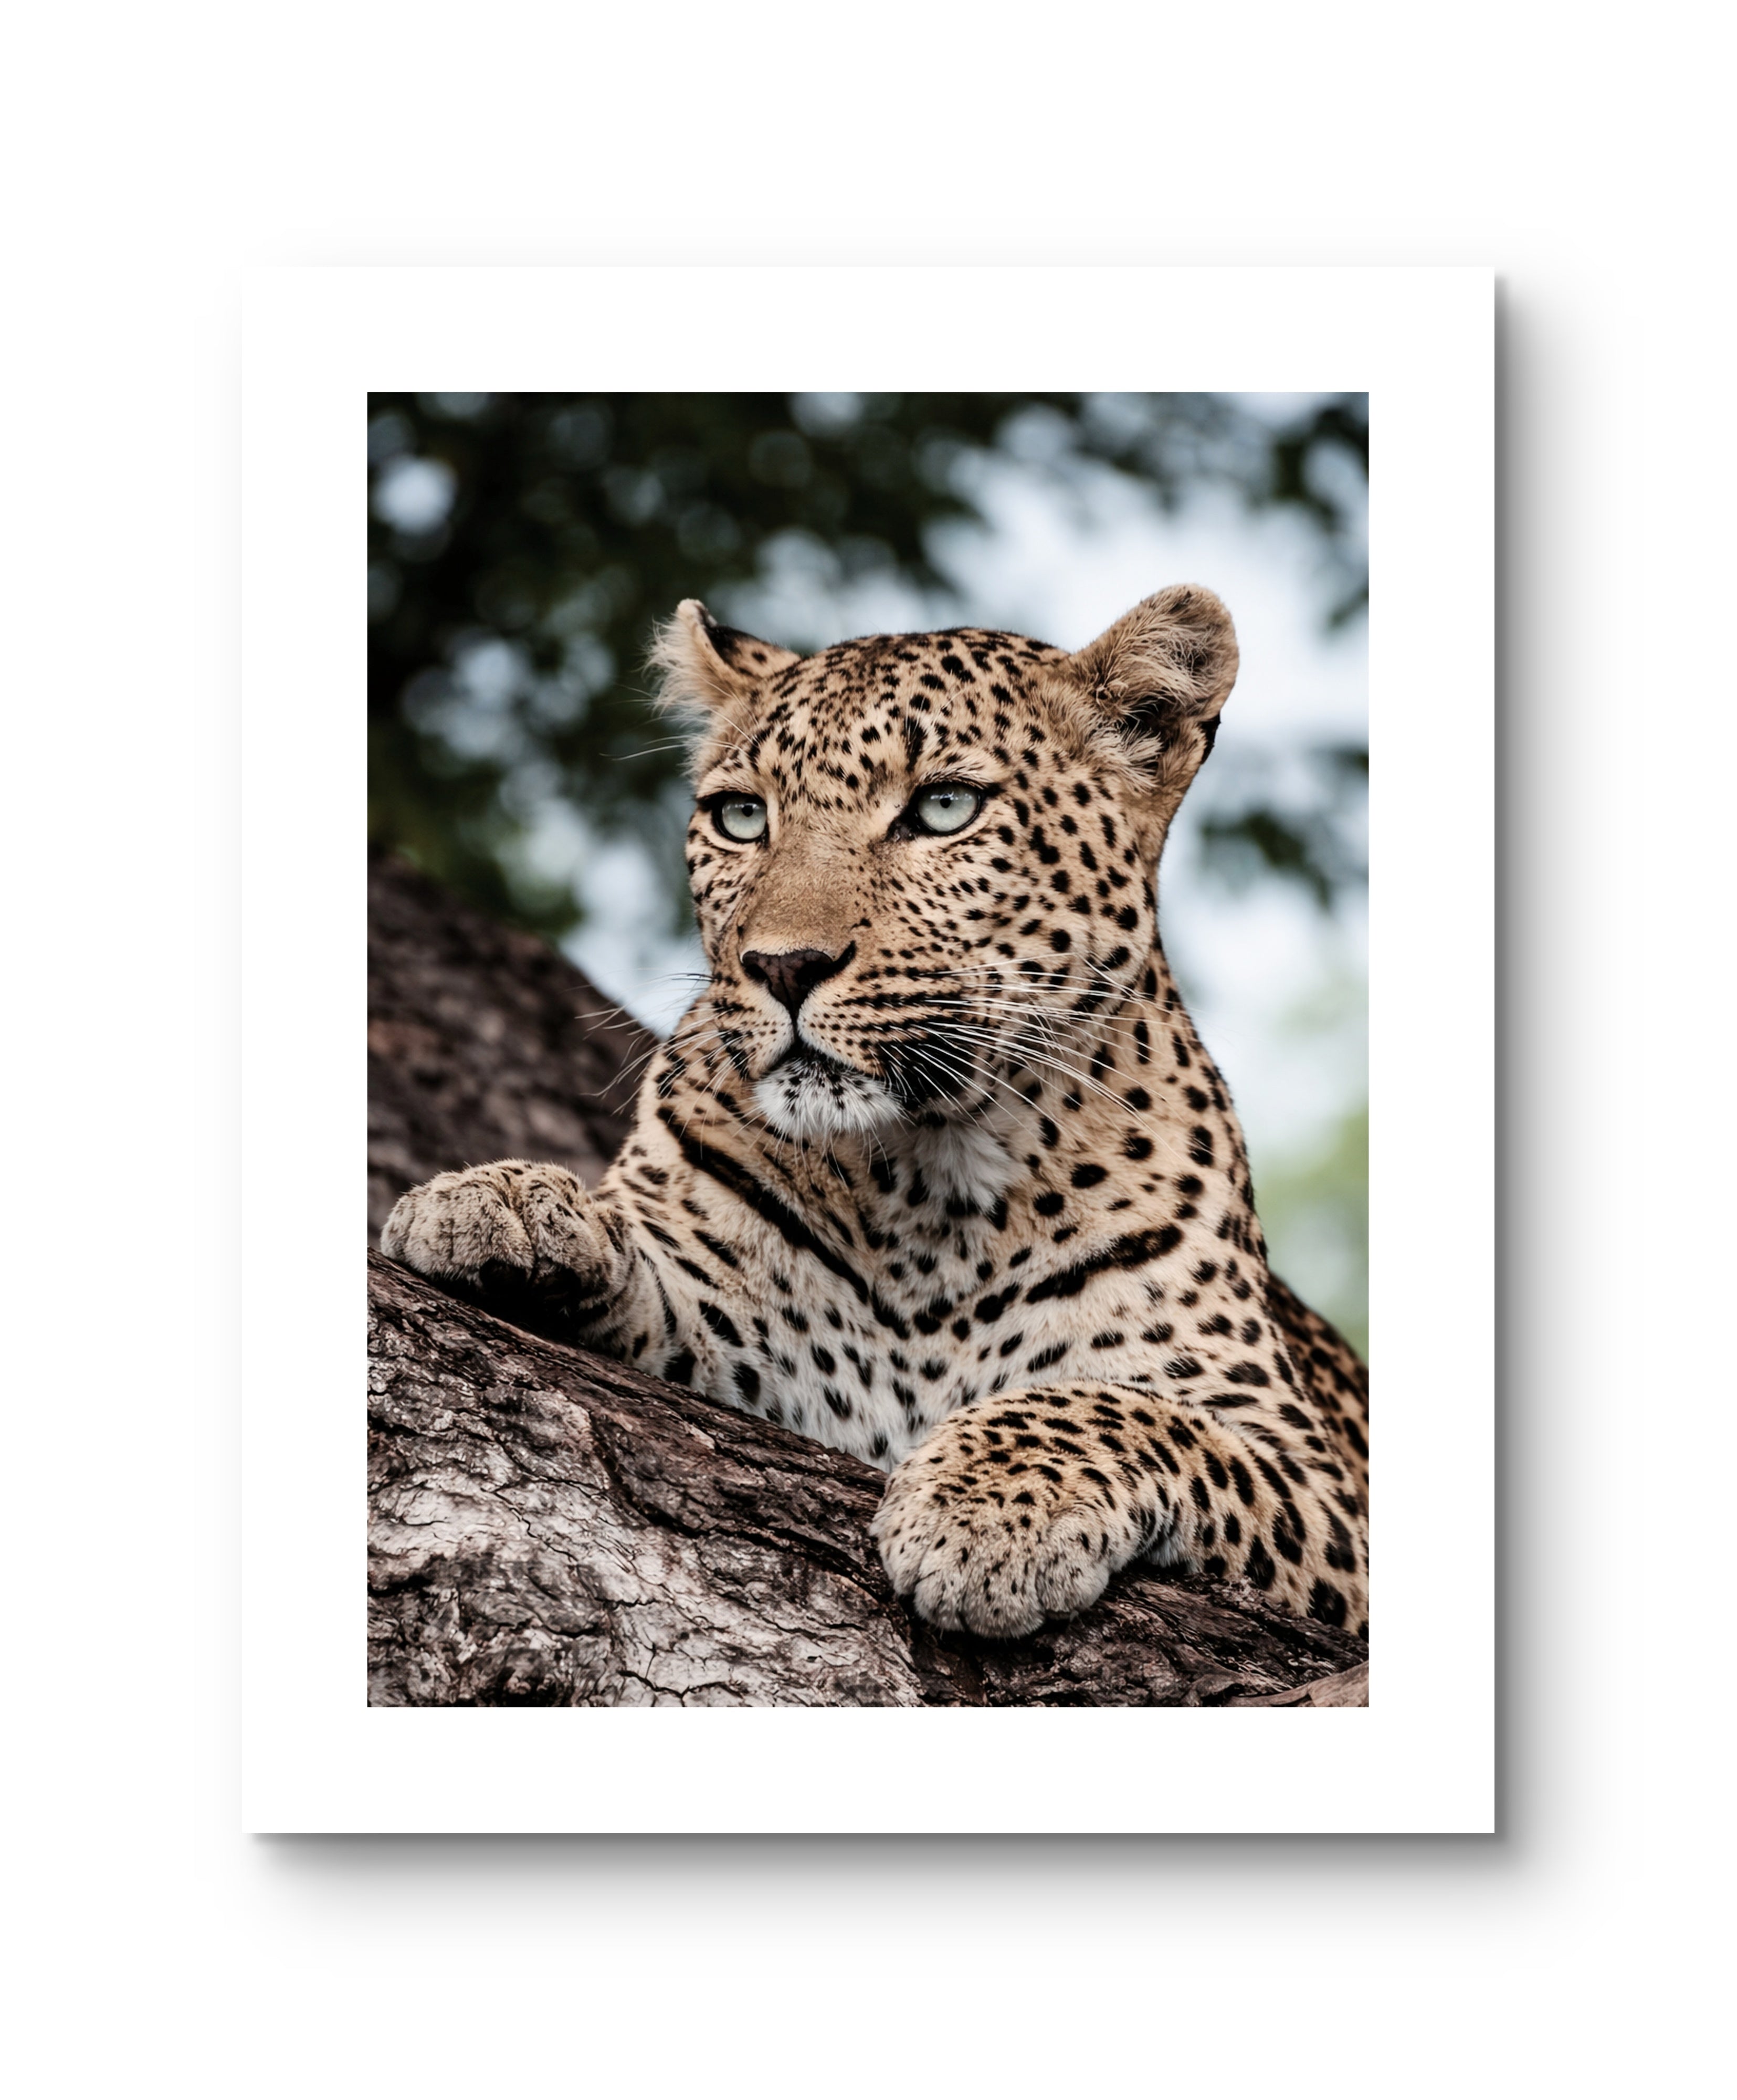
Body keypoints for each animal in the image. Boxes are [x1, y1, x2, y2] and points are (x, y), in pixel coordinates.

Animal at [382, 585, 1370, 1640]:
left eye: (943, 807)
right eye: (741, 817)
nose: (781, 966)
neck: (930, 1183)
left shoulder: (1314, 1475)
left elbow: (1122, 1408)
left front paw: (987, 1507)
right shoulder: (739, 1336)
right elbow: (652, 1264)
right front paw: (508, 1205)